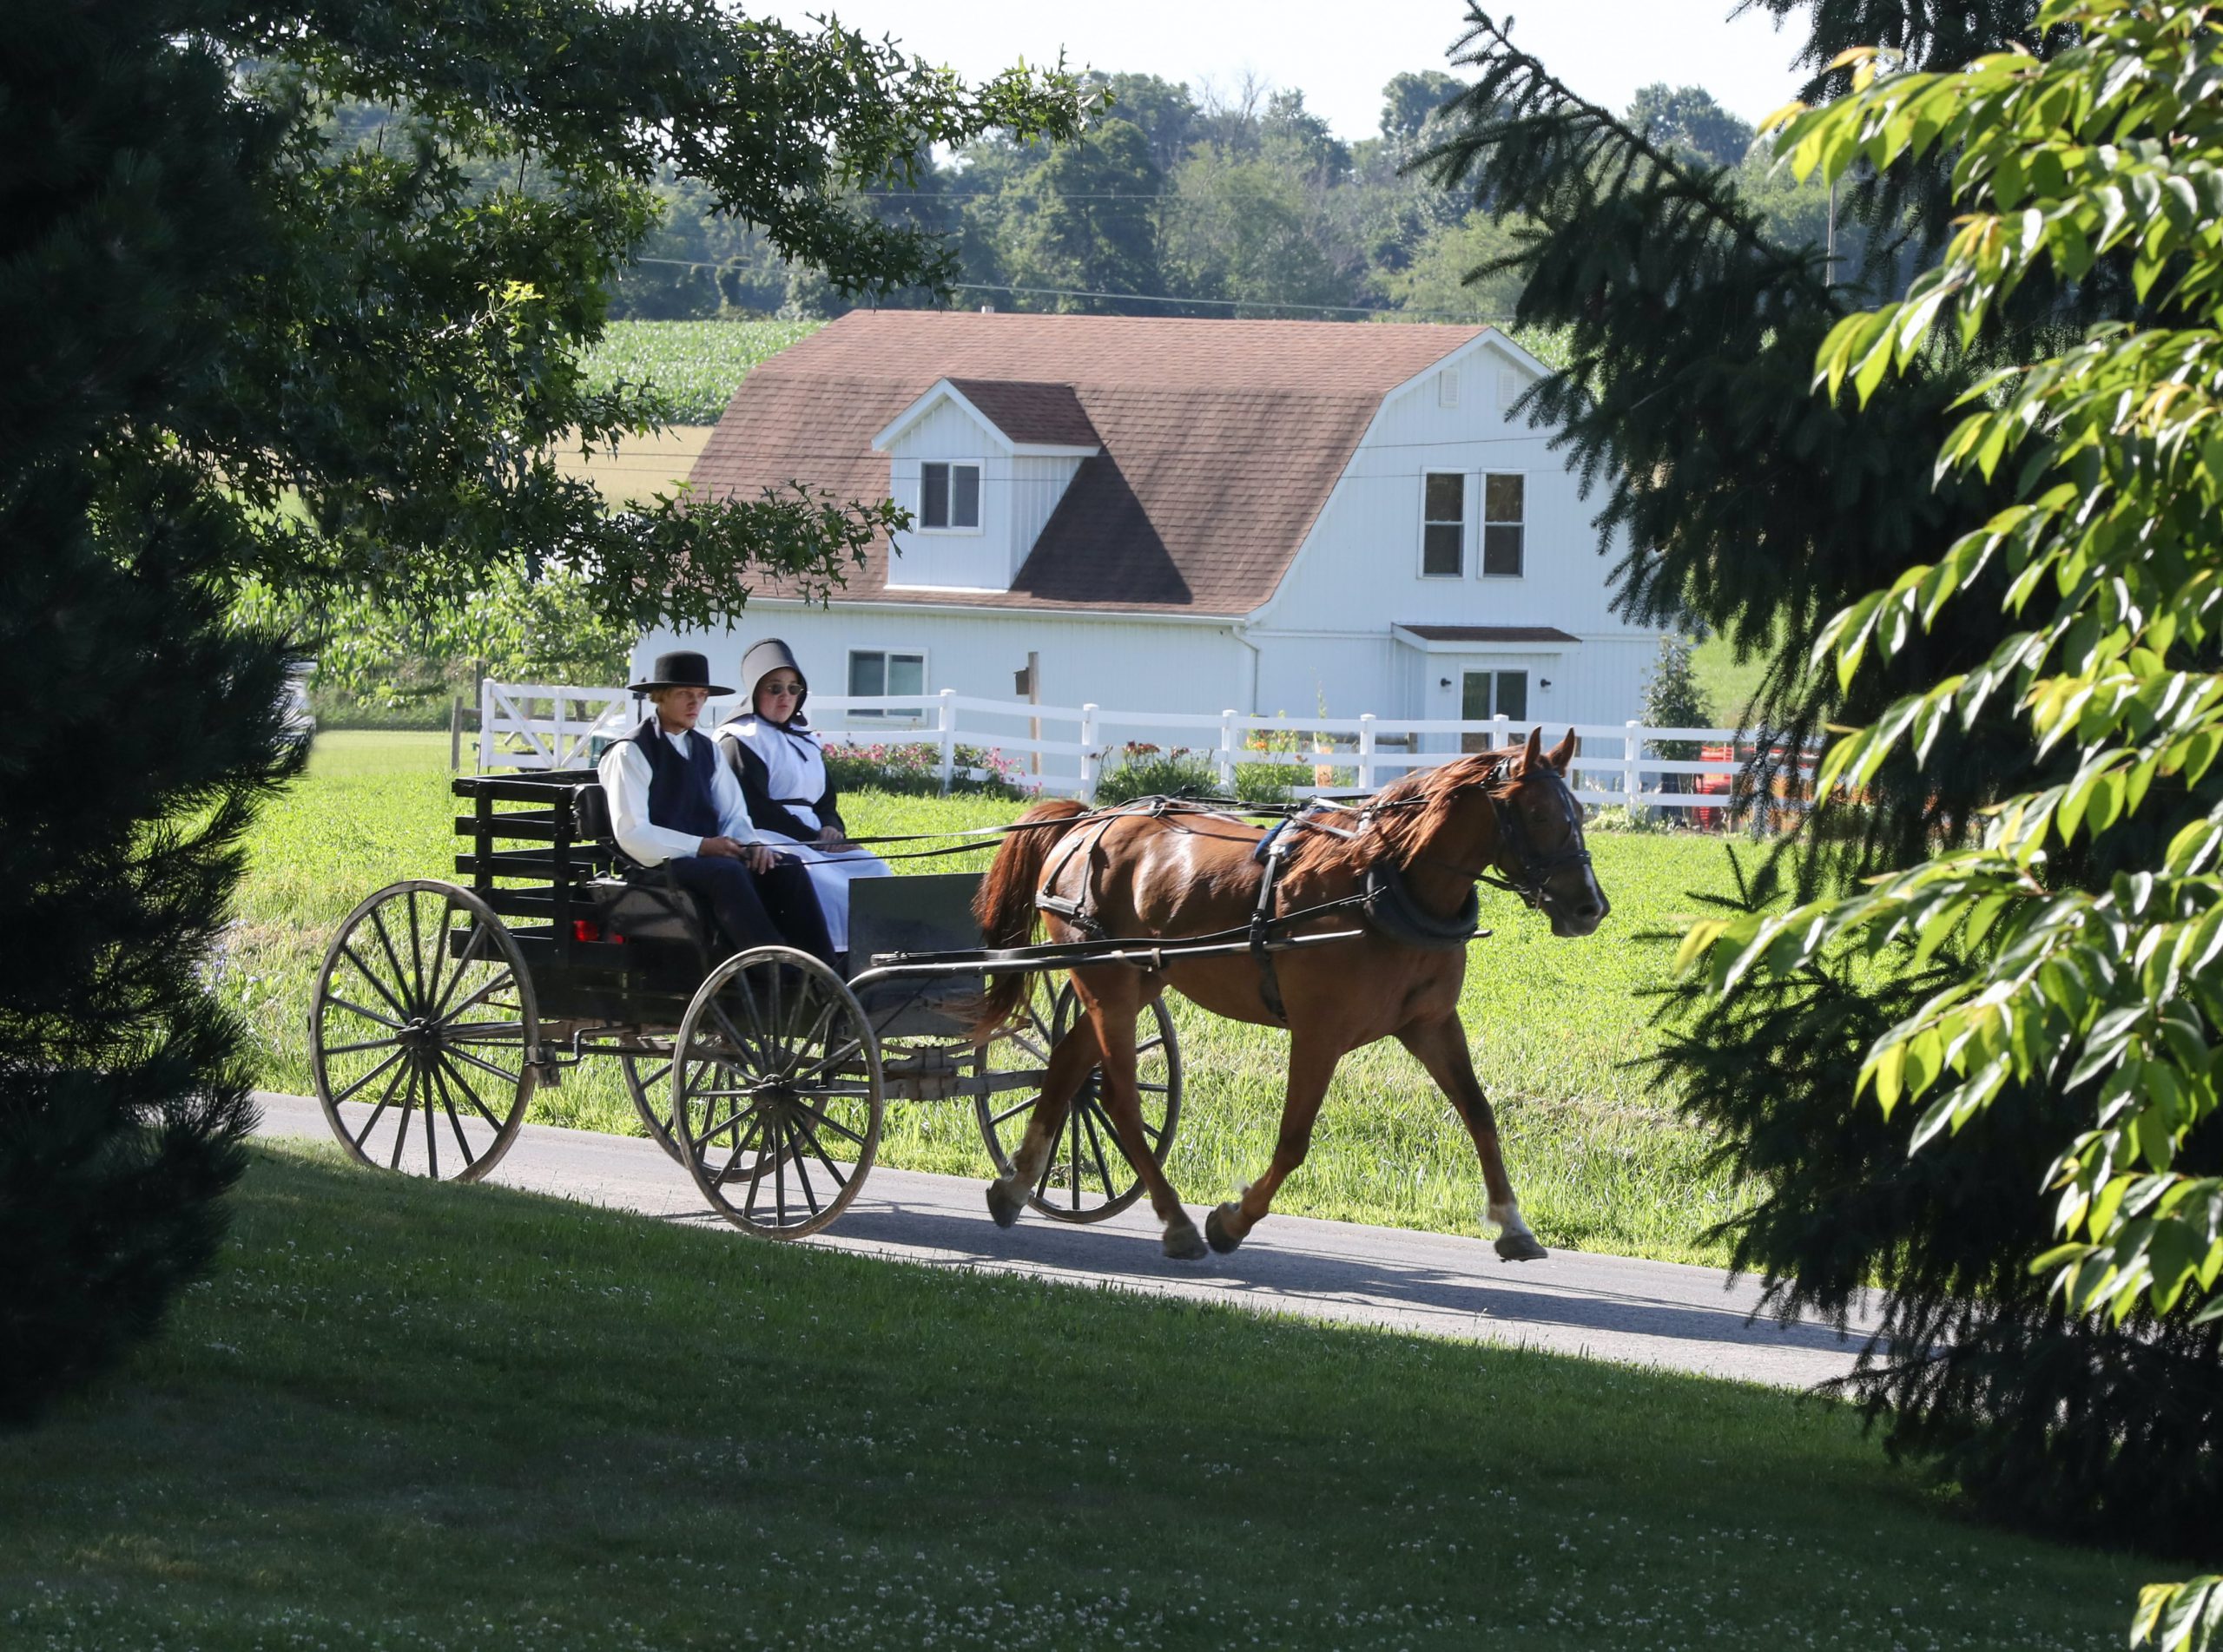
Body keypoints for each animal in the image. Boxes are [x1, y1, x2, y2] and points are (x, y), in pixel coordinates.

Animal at [965, 729, 1609, 1262]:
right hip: (1109, 983)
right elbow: (1295, 1140)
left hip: (1137, 979)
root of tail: (1086, 822)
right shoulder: (1319, 1033)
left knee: (1068, 1064)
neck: (1381, 882)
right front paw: (1232, 1221)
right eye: (1538, 812)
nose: (1590, 907)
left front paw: (1512, 1223)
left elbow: (1479, 1112)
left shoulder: (1431, 1023)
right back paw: (1175, 1221)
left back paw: (1015, 1185)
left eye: (1578, 811)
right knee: (1120, 1098)